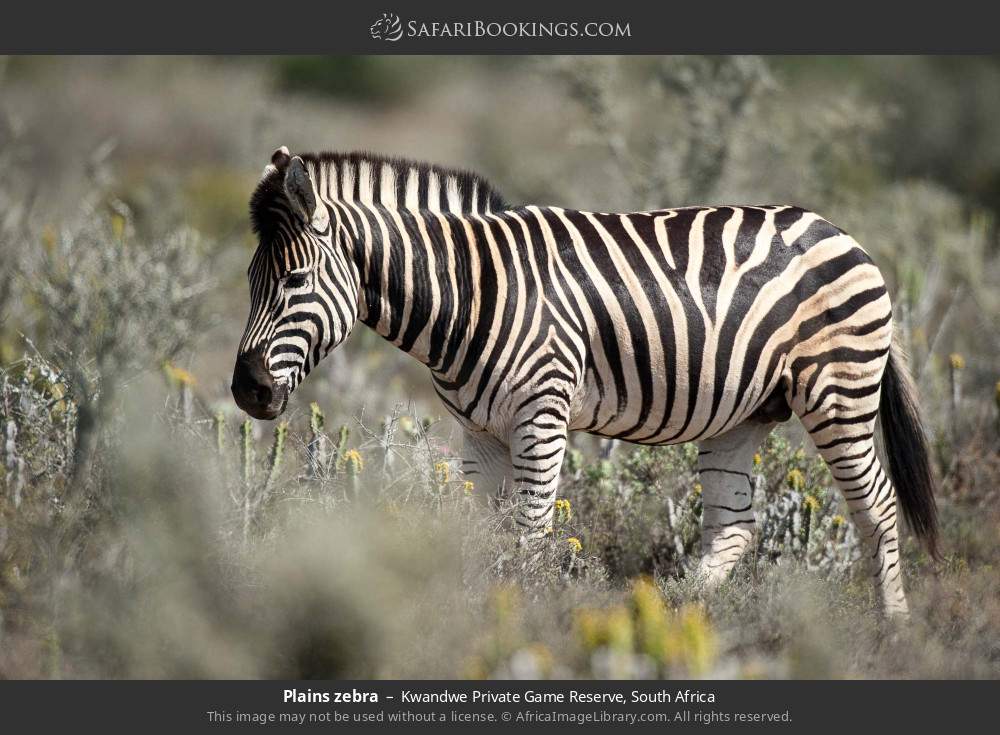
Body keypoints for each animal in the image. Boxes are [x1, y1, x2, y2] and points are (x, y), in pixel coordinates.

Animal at [232, 146, 938, 617]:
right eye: (249, 281)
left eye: (295, 280)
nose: (247, 391)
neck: (468, 293)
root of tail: (841, 233)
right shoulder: (480, 432)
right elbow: (478, 534)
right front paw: (473, 618)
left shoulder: (541, 416)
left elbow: (528, 535)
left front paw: (520, 623)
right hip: (743, 414)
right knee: (734, 527)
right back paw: (674, 618)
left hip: (838, 391)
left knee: (877, 506)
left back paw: (893, 629)